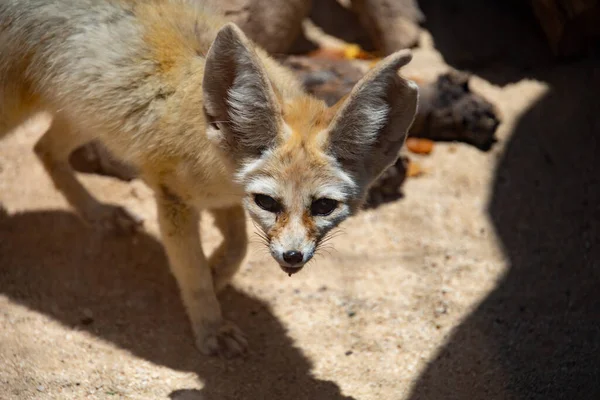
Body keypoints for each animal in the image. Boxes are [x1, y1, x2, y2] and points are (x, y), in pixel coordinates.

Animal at [0, 0, 418, 356]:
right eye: (268, 201)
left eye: (324, 206)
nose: (292, 256)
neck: (215, 151)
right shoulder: (175, 200)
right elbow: (194, 273)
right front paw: (211, 326)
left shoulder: (223, 199)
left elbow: (238, 246)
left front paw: (219, 272)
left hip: (86, 116)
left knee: (43, 150)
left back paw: (99, 215)